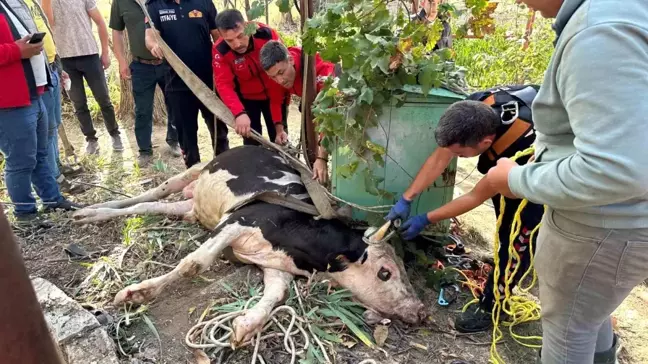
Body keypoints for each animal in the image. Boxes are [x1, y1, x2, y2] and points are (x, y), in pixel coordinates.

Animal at [73, 146, 428, 346]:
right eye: (385, 272)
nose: (421, 311)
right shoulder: (238, 220)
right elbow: (194, 263)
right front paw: (138, 293)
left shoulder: (276, 265)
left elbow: (276, 295)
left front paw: (247, 324)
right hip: (196, 170)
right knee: (154, 192)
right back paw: (93, 209)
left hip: (191, 207)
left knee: (157, 207)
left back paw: (95, 212)